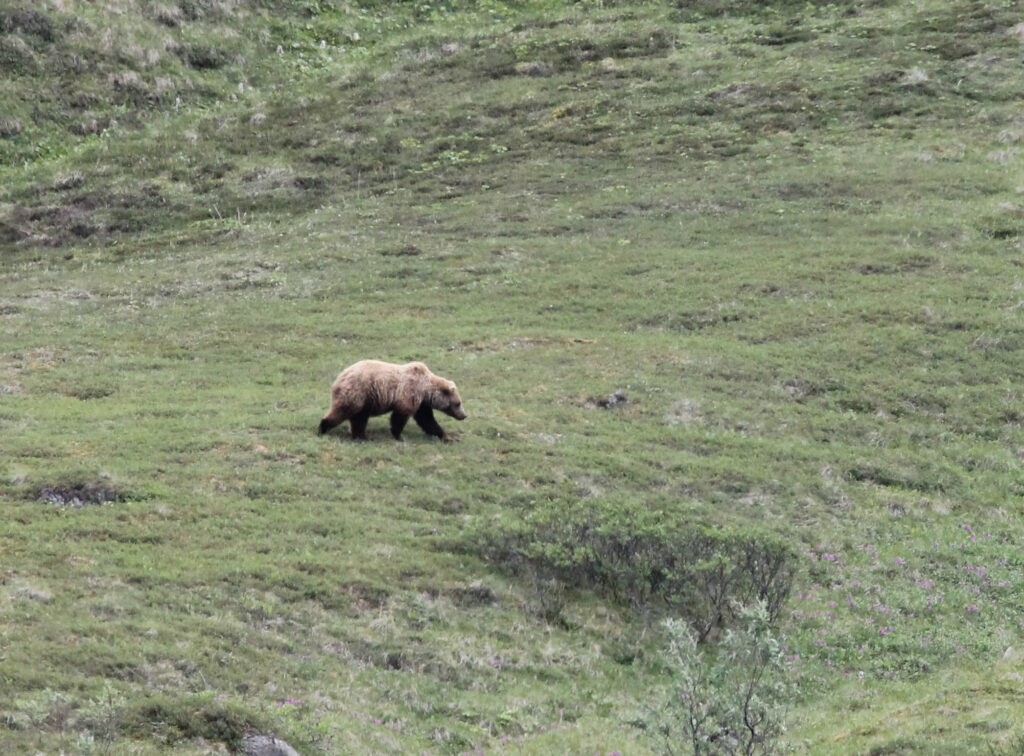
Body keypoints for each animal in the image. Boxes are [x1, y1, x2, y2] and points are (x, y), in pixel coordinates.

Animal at [317, 360, 467, 442]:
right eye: (458, 403)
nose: (464, 415)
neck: (425, 389)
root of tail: (339, 378)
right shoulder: (409, 392)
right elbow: (400, 416)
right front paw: (399, 436)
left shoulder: (422, 402)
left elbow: (427, 419)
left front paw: (448, 437)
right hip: (357, 393)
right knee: (342, 411)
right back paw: (323, 428)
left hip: (364, 400)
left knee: (359, 418)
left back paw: (362, 437)